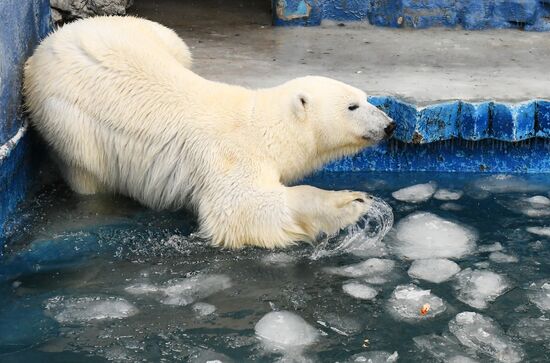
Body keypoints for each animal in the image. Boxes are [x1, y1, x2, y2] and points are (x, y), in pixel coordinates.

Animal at [23, 17, 396, 250]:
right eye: (352, 106)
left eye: (366, 98)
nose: (390, 124)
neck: (262, 126)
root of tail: (49, 41)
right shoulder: (229, 157)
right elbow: (242, 211)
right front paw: (348, 202)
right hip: (68, 121)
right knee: (87, 170)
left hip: (148, 32)